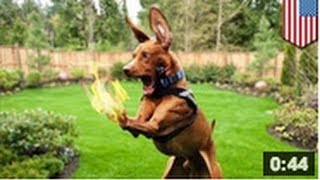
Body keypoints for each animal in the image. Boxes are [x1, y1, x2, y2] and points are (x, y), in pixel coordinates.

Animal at [118, 6, 222, 178]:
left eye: (145, 55)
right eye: (133, 55)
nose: (125, 69)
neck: (161, 92)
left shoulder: (153, 125)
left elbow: (129, 121)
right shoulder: (140, 122)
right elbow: (131, 121)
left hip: (214, 171)